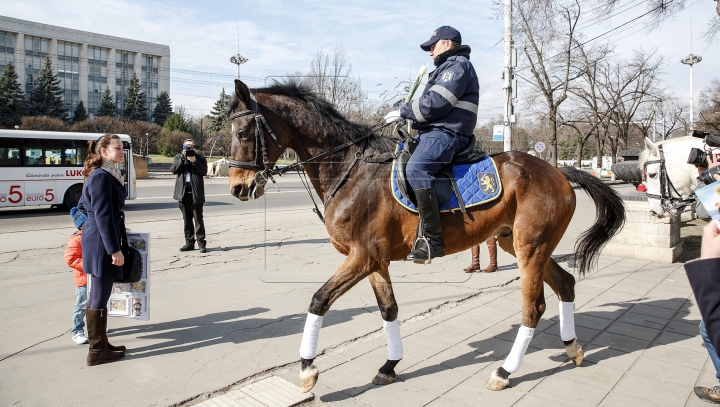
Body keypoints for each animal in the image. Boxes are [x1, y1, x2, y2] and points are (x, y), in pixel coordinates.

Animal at [226, 78, 624, 394]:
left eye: (243, 133)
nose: (238, 189)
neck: (350, 170)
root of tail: (558, 171)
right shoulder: (375, 261)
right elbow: (388, 309)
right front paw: (389, 366)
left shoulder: (362, 257)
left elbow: (318, 300)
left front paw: (307, 369)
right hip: (520, 245)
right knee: (566, 284)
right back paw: (572, 348)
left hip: (531, 250)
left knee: (534, 307)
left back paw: (504, 371)